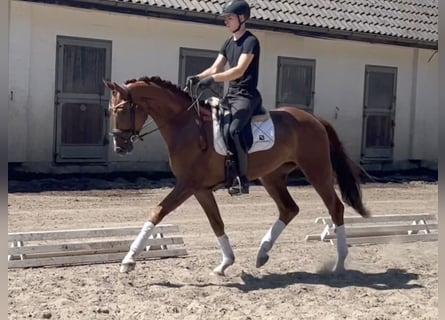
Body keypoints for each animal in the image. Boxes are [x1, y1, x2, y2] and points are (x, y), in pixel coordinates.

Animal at [102, 76, 370, 276]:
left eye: (122, 109)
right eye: (110, 110)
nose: (119, 146)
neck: (186, 126)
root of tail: (314, 118)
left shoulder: (187, 185)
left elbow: (157, 212)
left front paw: (129, 260)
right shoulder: (200, 189)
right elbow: (216, 223)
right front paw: (225, 263)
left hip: (317, 170)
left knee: (335, 207)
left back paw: (340, 263)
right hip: (272, 176)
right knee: (289, 209)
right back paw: (262, 253)